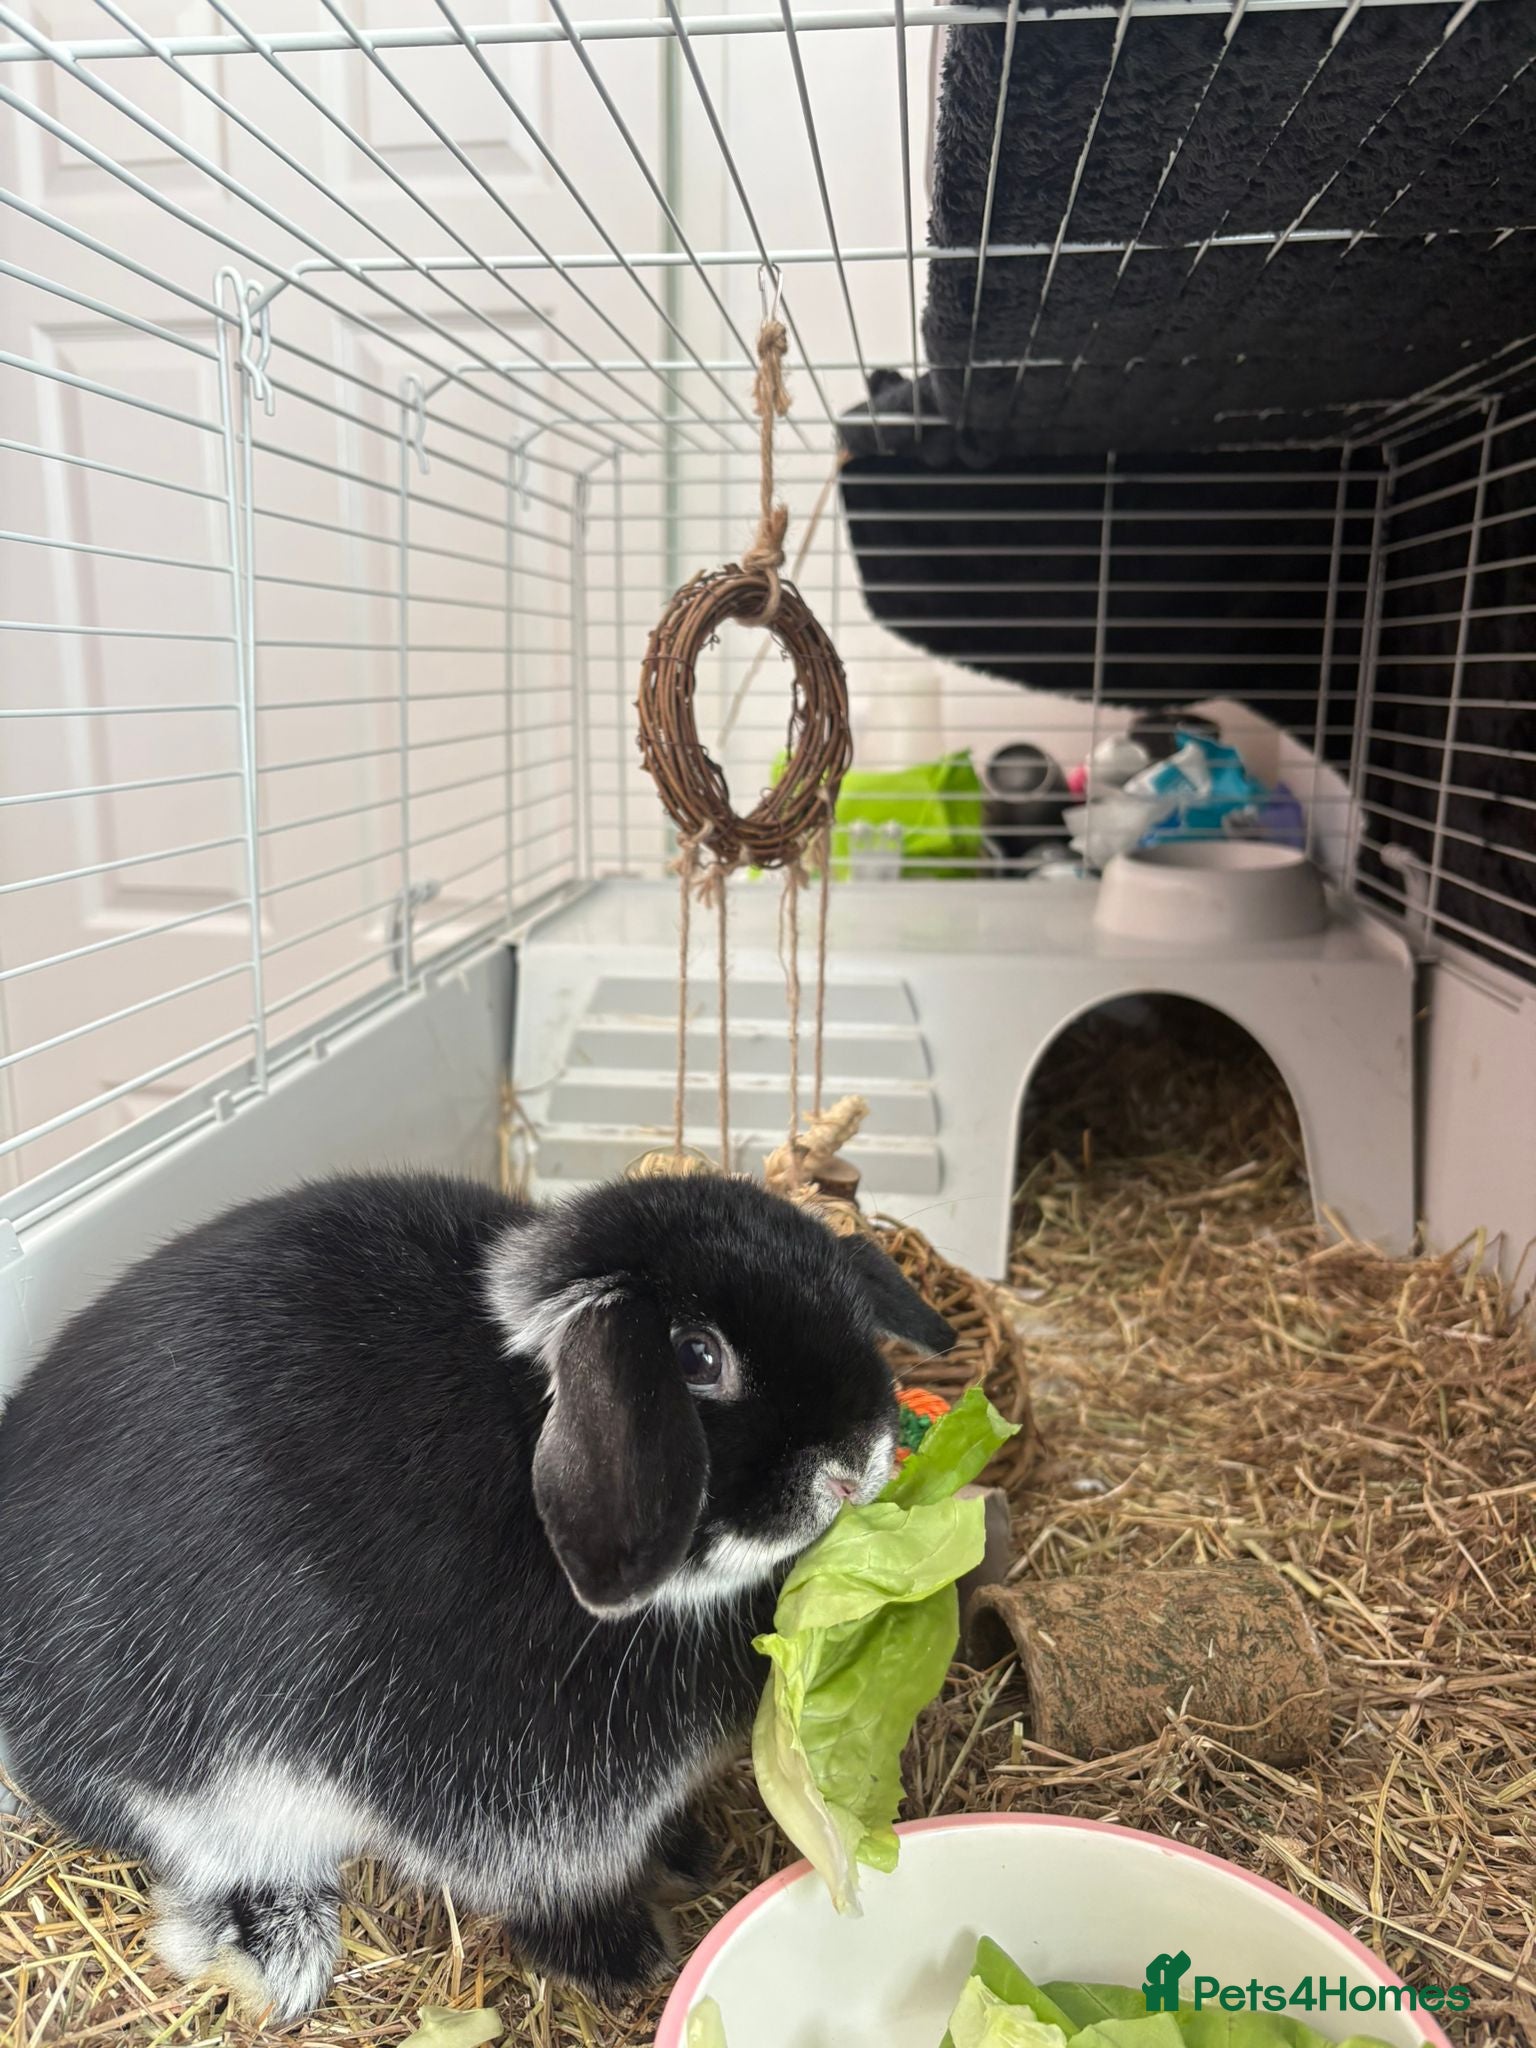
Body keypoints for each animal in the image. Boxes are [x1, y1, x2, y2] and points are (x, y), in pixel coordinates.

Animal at [0, 1169, 954, 2025]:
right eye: (696, 1356)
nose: (858, 1463)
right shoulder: (510, 1796)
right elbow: (551, 1882)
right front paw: (620, 1958)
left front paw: (687, 1857)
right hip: (201, 1788)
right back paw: (278, 1943)